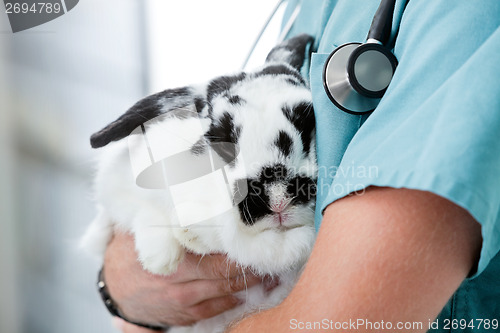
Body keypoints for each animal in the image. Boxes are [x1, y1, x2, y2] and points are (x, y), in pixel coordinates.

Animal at [82, 34, 316, 332]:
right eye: (222, 141)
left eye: (309, 128)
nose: (278, 198)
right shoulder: (117, 185)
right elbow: (141, 210)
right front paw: (161, 259)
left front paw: (191, 236)